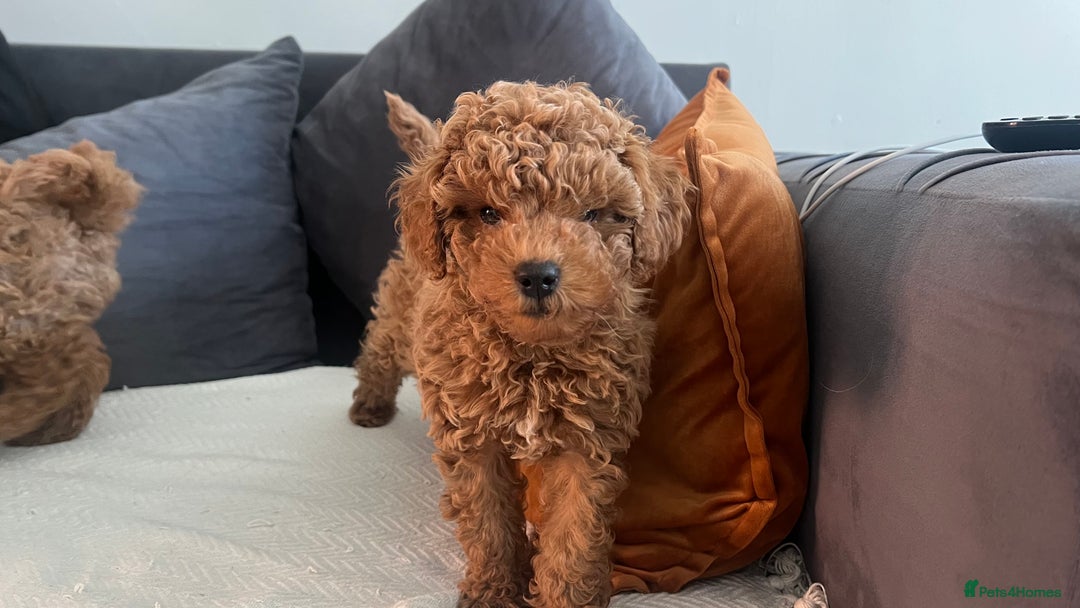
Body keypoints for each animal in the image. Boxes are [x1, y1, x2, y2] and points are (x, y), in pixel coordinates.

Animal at [350, 82, 690, 608]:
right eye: (489, 213)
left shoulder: (589, 439)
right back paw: (370, 403)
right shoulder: (473, 437)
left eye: (592, 214)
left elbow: (574, 530)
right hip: (400, 311)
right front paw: (493, 590)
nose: (537, 274)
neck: (531, 354)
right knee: (381, 348)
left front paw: (566, 596)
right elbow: (489, 521)